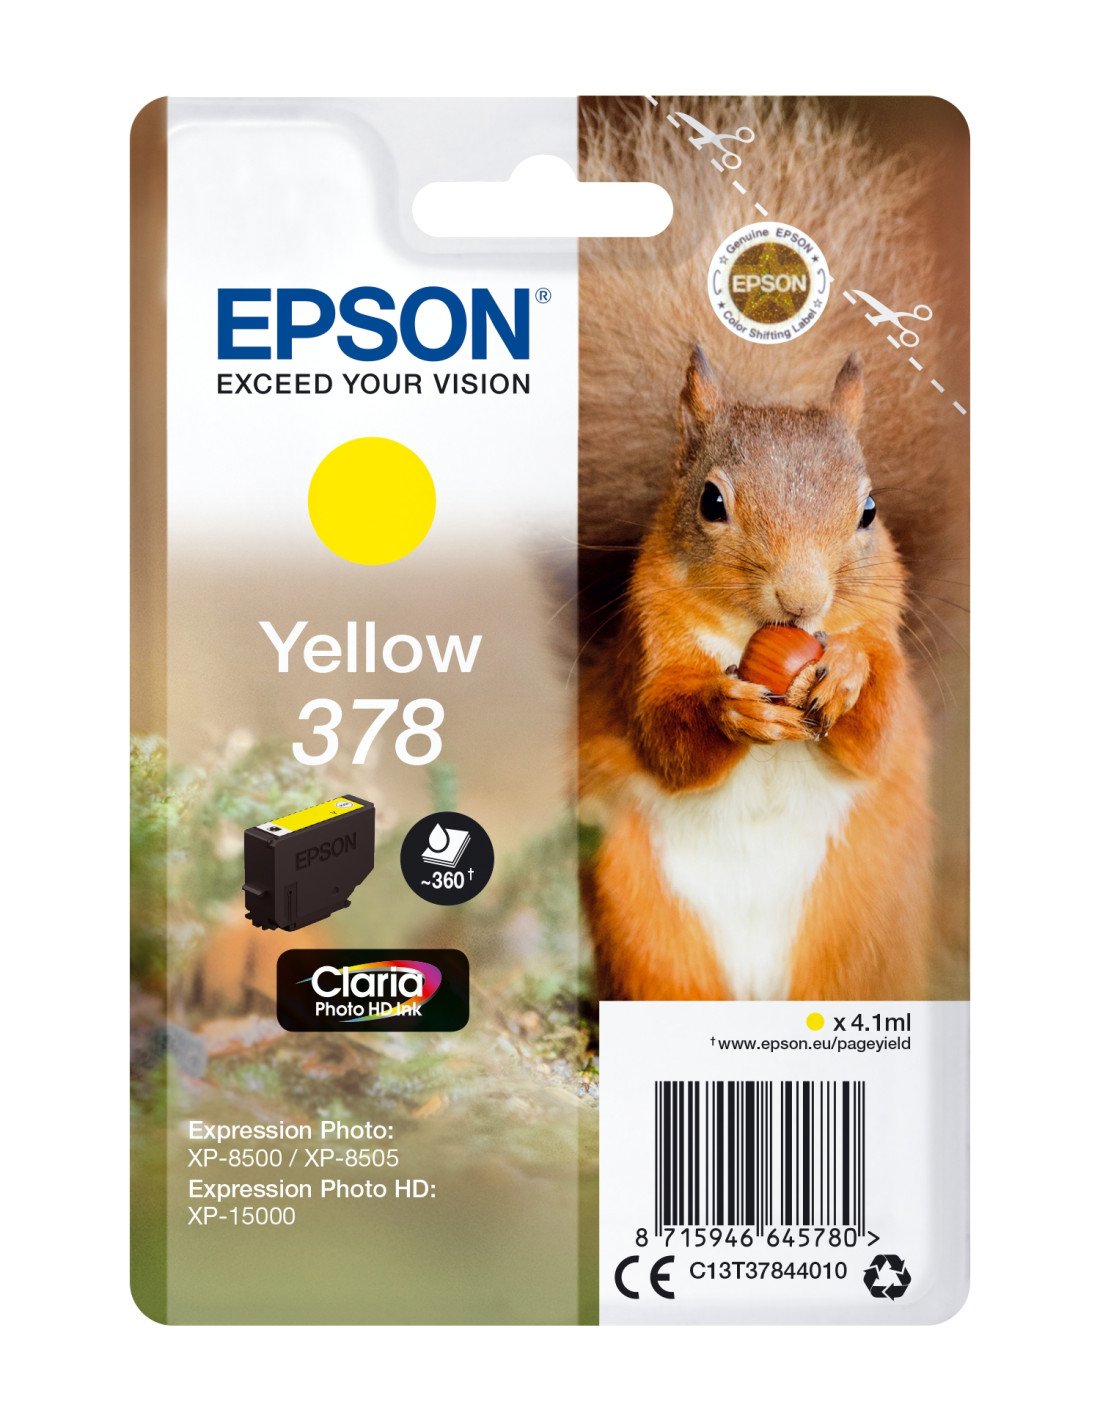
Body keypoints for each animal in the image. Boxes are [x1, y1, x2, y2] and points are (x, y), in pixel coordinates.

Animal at [575, 97, 968, 1001]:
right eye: (711, 502)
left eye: (869, 510)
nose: (802, 600)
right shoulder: (647, 650)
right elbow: (665, 735)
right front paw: (732, 709)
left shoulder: (887, 642)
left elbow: (877, 729)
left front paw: (847, 676)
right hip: (645, 923)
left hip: (860, 927)